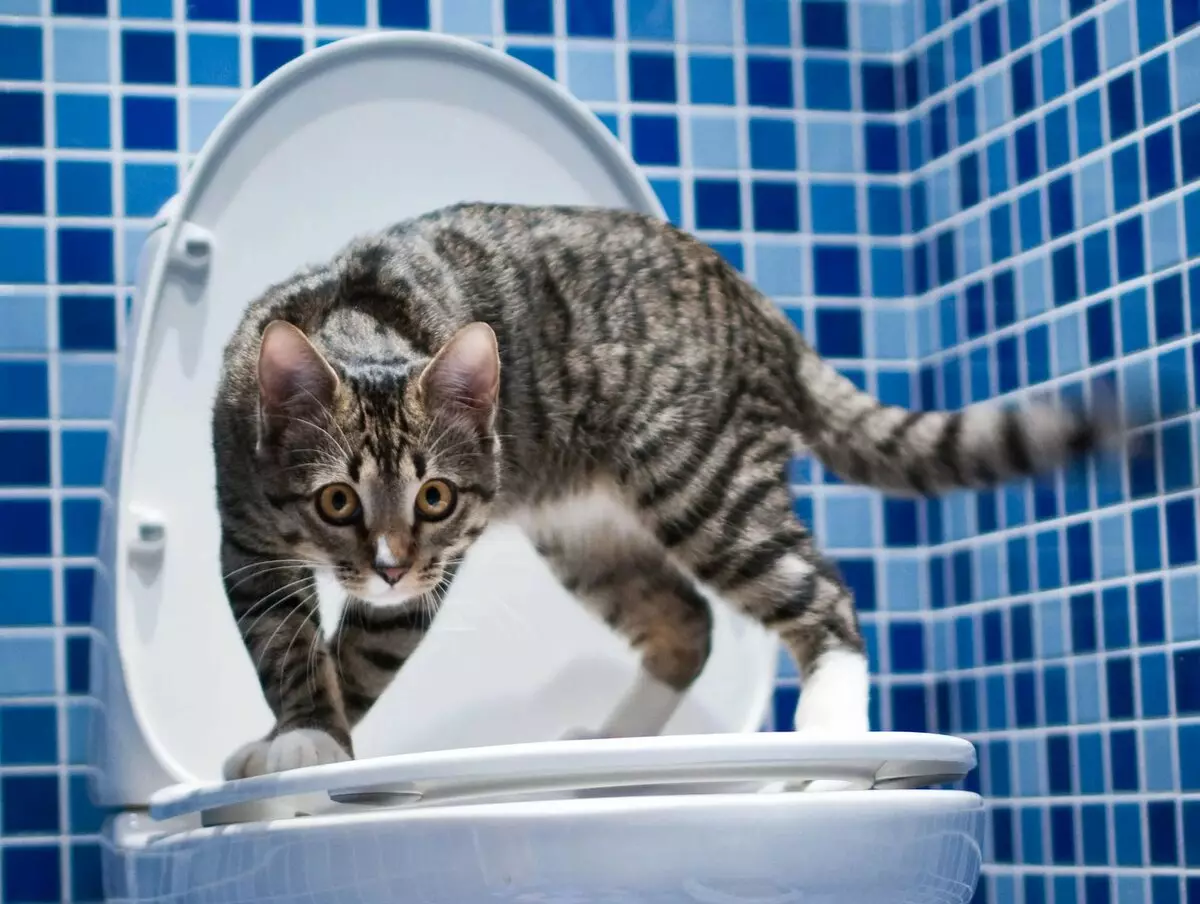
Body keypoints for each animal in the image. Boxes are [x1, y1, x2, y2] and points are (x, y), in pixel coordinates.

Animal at [213, 202, 1113, 777]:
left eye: (435, 498)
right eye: (337, 501)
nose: (392, 564)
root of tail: (756, 302)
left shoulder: (431, 571)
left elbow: (357, 655)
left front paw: (312, 749)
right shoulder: (246, 546)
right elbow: (285, 648)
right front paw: (298, 729)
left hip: (702, 479)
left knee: (819, 595)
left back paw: (832, 732)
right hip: (587, 531)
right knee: (686, 624)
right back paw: (611, 744)